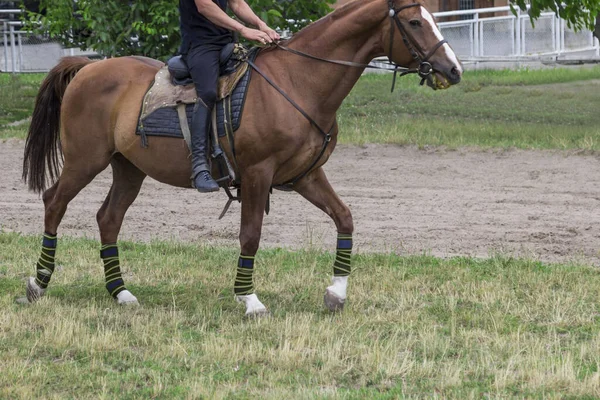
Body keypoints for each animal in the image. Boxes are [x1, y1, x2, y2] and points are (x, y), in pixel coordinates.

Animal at [18, 0, 460, 318]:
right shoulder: (256, 174)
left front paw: (336, 293)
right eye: (415, 23)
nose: (453, 71)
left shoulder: (308, 176)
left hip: (129, 169)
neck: (297, 82)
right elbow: (251, 235)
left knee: (108, 218)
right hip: (84, 161)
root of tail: (87, 68)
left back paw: (120, 292)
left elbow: (345, 218)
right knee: (54, 202)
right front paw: (249, 300)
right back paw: (38, 283)